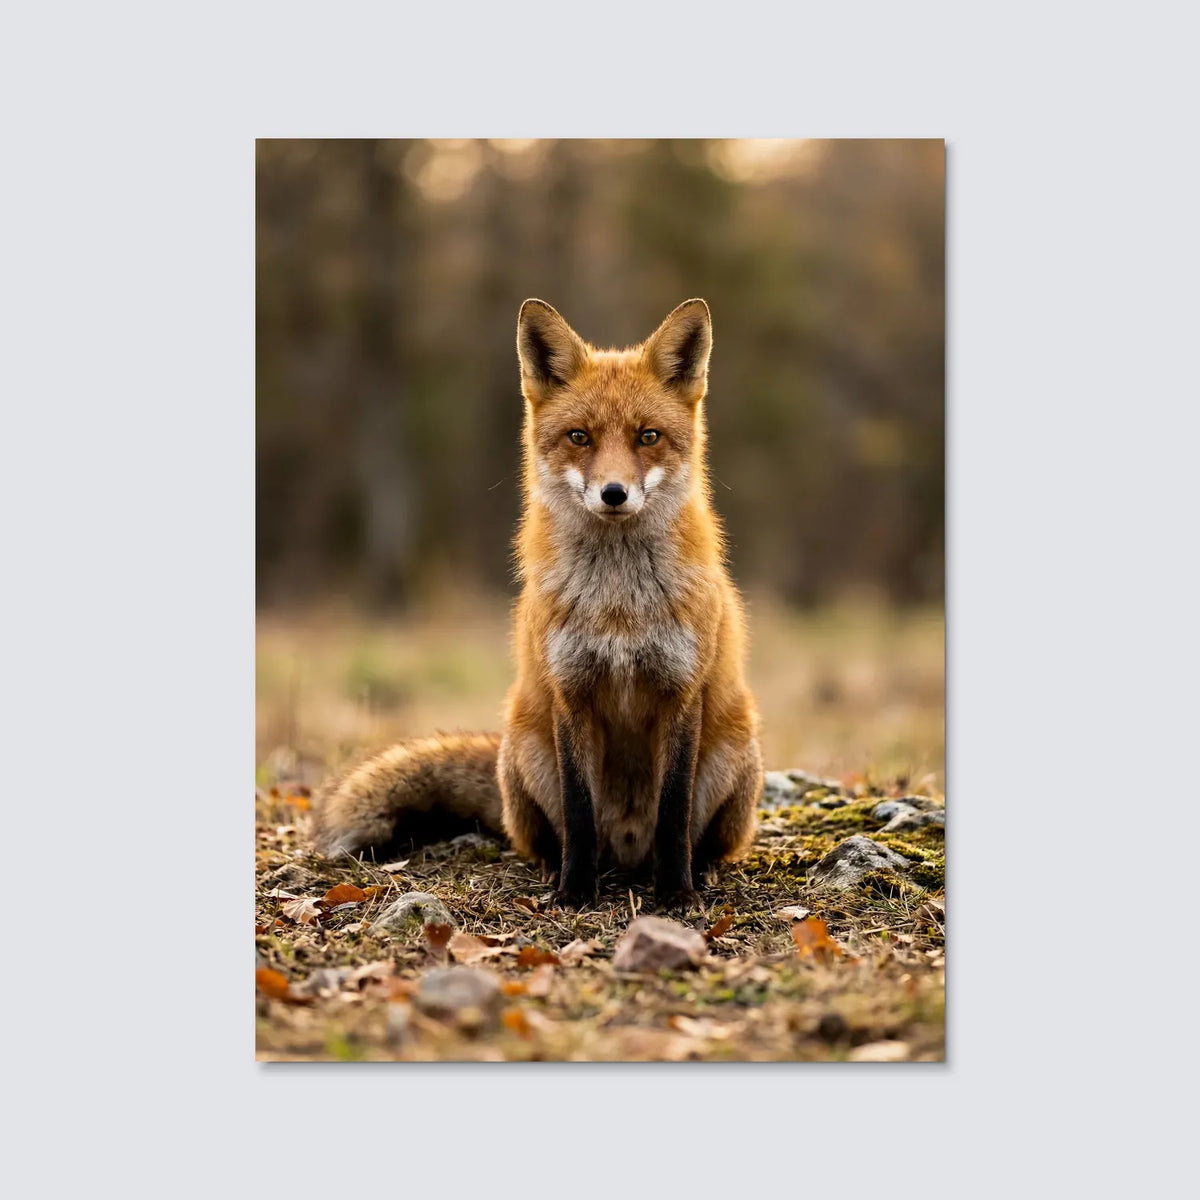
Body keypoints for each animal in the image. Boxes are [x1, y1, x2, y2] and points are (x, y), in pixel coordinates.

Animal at [313, 298, 764, 909]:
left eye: (648, 436)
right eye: (580, 436)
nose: (614, 493)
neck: (618, 605)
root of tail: (628, 853)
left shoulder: (681, 691)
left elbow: (674, 810)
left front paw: (675, 894)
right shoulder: (569, 693)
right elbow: (578, 811)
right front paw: (575, 893)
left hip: (734, 751)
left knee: (703, 838)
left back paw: (701, 871)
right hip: (526, 750)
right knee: (548, 838)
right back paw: (559, 870)